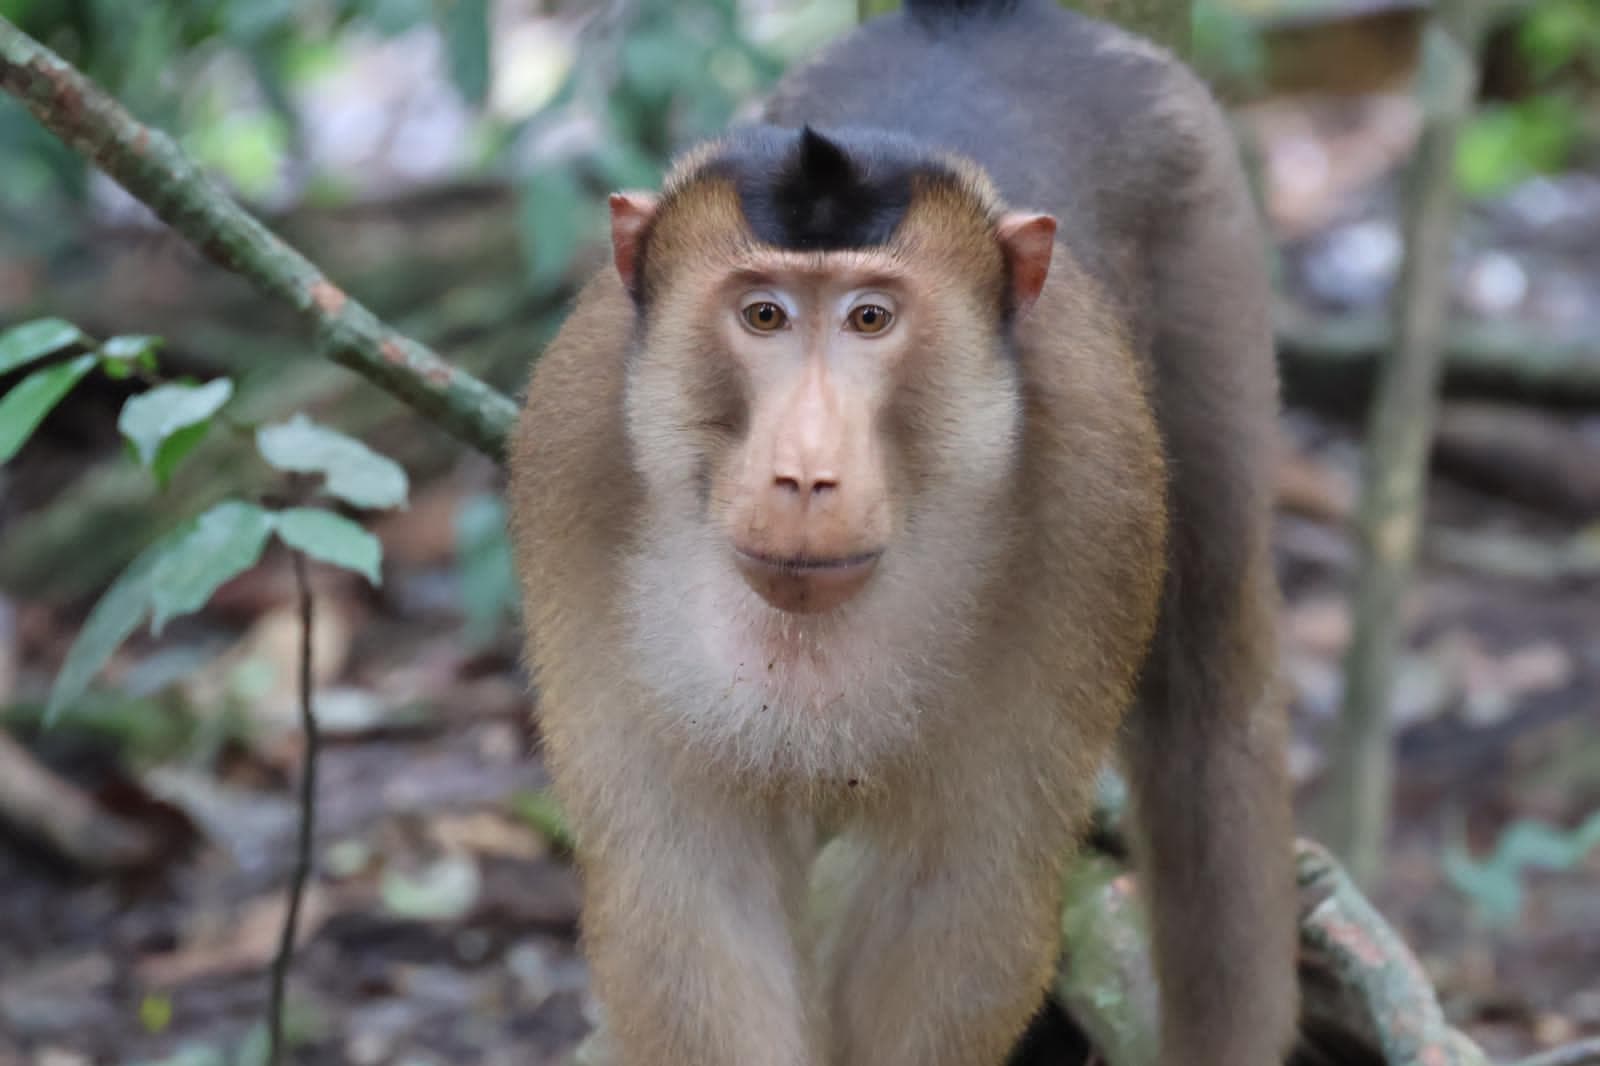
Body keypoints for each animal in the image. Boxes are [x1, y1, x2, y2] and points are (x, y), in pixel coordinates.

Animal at [506, 1, 1299, 1064]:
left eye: (871, 318)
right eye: (763, 315)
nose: (805, 473)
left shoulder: (1090, 501)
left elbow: (955, 895)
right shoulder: (576, 464)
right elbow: (688, 892)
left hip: (1207, 235)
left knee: (1208, 693)